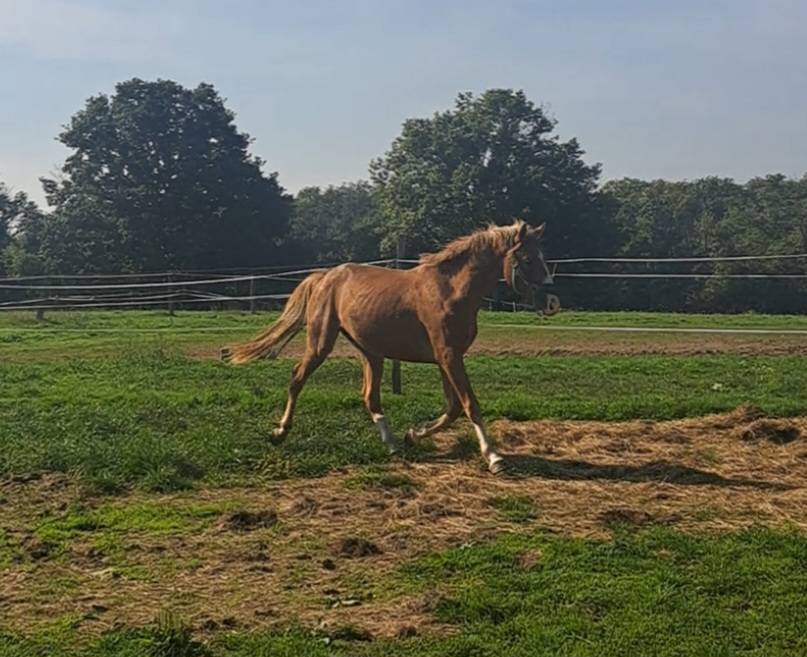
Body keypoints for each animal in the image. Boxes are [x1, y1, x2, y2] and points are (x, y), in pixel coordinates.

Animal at [222, 220, 559, 474]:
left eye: (542, 257)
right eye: (527, 259)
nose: (552, 302)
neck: (451, 291)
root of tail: (324, 276)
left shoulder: (447, 359)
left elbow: (452, 408)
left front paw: (413, 434)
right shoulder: (449, 356)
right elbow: (469, 405)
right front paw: (494, 457)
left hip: (371, 353)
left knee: (369, 397)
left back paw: (394, 445)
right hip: (321, 342)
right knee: (297, 378)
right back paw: (279, 432)